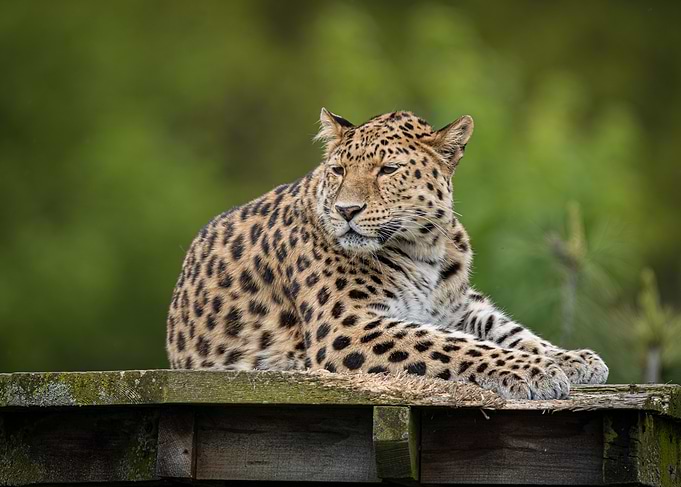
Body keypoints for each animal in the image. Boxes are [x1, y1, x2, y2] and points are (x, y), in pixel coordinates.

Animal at [166, 108, 609, 400]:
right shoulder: (347, 326)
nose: (346, 210)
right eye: (339, 170)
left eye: (388, 169)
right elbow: (454, 344)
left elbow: (506, 330)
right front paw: (537, 371)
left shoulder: (457, 305)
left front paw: (572, 359)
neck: (425, 247)